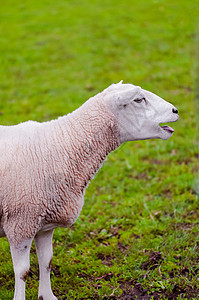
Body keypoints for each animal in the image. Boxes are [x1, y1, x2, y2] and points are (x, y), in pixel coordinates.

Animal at [0, 81, 179, 298]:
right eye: (138, 99)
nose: (175, 110)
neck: (60, 147)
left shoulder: (44, 224)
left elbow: (47, 261)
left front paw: (48, 296)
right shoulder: (20, 223)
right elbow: (23, 272)